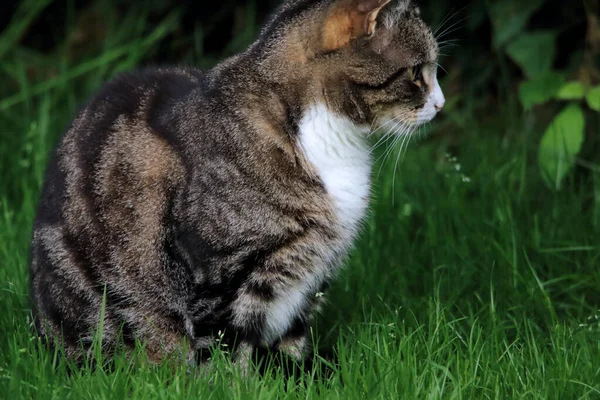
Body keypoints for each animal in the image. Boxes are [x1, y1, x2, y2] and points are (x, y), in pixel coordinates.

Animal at [29, 0, 446, 368]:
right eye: (417, 71)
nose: (442, 105)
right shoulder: (219, 276)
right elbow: (225, 352)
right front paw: (238, 383)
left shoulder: (310, 277)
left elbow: (291, 344)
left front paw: (297, 377)